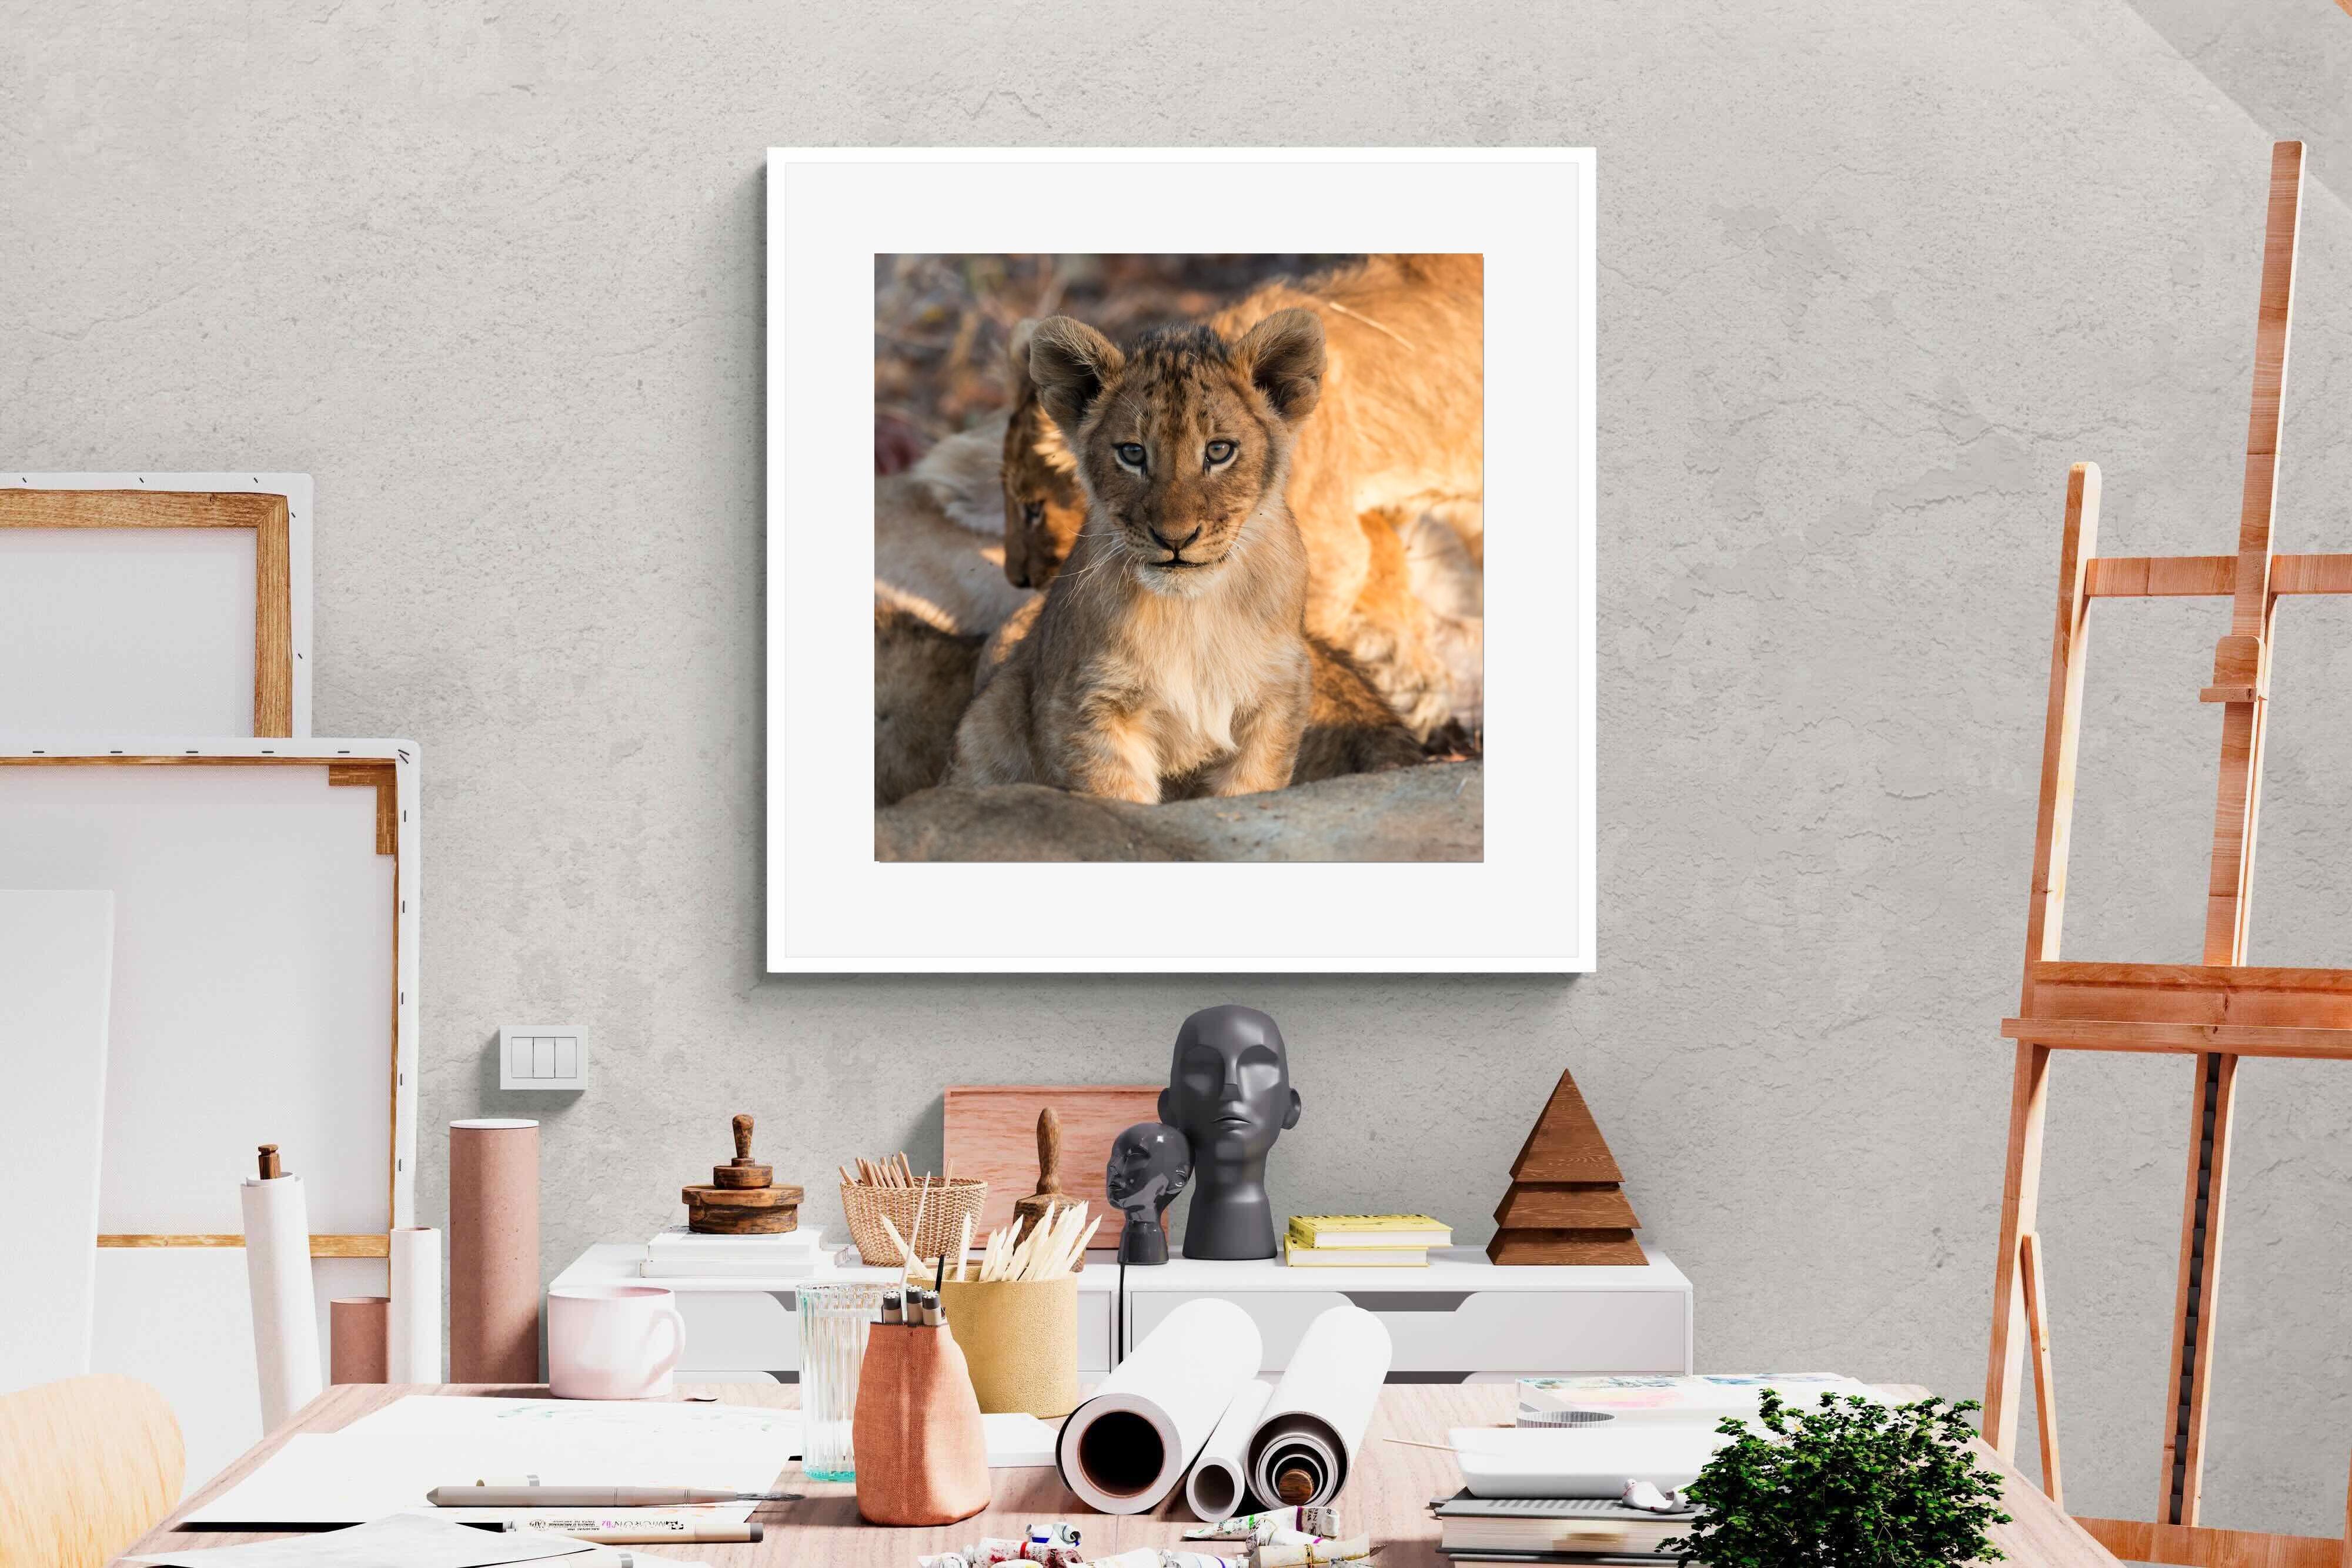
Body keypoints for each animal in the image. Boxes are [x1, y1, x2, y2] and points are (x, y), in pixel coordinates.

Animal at [947, 309, 1333, 802]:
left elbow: (1250, 789)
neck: (1192, 614)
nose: (1175, 538)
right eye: (1132, 453)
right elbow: (1117, 798)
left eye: (1219, 451)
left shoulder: (1276, 696)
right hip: (991, 718)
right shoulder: (1090, 704)